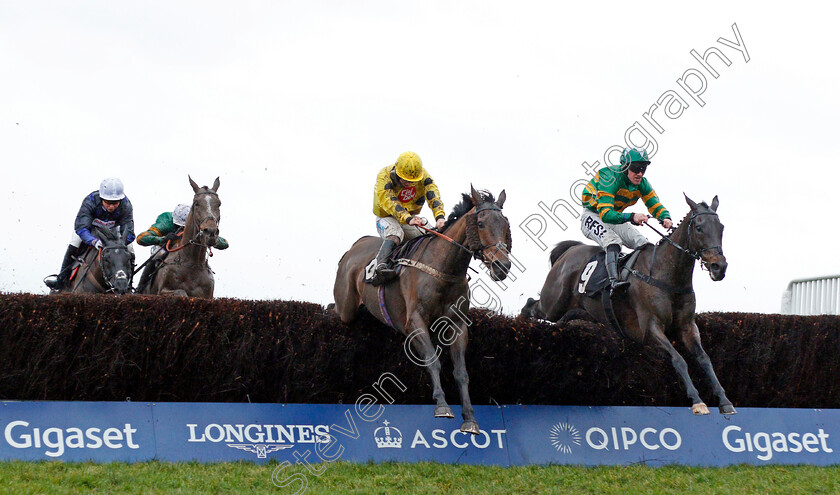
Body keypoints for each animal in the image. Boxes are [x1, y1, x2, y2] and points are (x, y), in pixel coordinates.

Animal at [334, 186, 512, 434]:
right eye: (481, 223)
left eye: (505, 225)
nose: (502, 266)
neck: (444, 269)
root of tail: (355, 247)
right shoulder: (415, 322)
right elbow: (432, 360)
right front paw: (442, 406)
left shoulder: (457, 326)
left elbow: (461, 372)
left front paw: (469, 419)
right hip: (346, 307)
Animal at [524, 196, 736, 416]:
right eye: (699, 228)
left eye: (721, 227)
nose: (719, 267)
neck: (667, 275)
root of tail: (569, 251)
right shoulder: (650, 328)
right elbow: (679, 359)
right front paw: (697, 401)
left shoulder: (687, 326)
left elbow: (704, 359)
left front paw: (724, 400)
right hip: (552, 305)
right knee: (532, 306)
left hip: (582, 313)